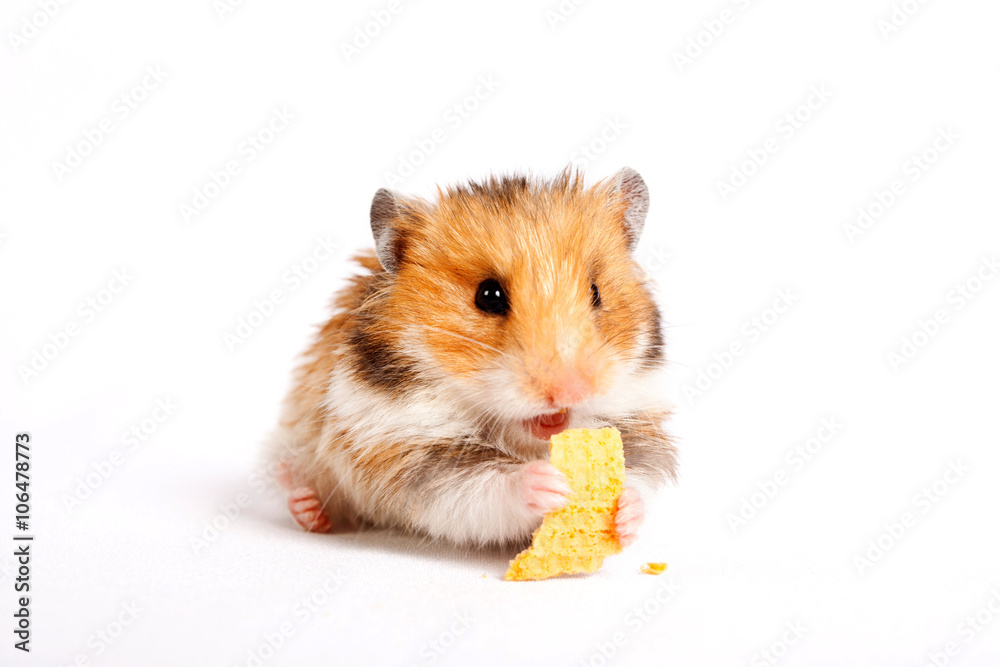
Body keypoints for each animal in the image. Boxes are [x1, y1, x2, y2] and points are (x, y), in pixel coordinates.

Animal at [267, 167, 676, 547]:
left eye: (595, 293)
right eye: (488, 296)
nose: (570, 392)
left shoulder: (637, 425)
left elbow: (640, 479)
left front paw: (626, 511)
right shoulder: (409, 451)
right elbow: (482, 487)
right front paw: (549, 484)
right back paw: (306, 506)